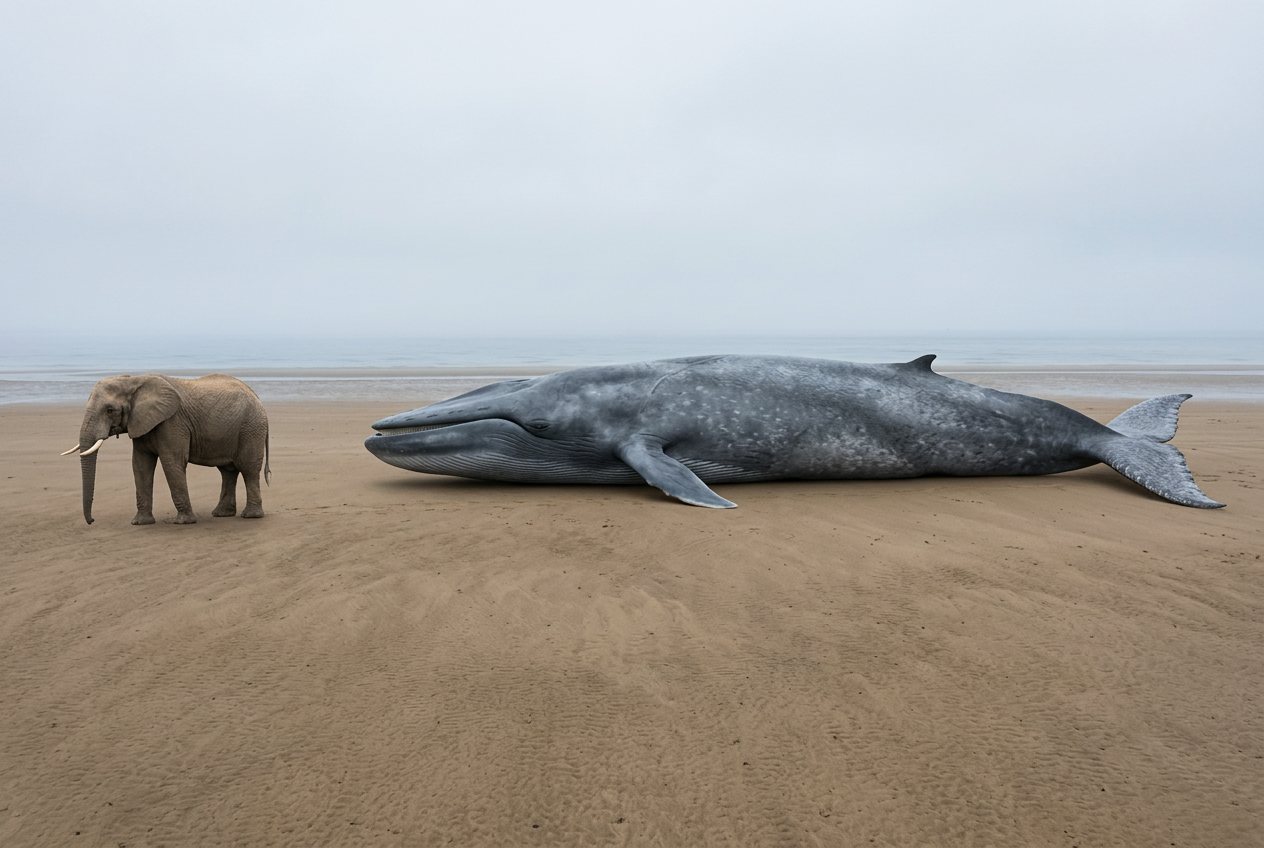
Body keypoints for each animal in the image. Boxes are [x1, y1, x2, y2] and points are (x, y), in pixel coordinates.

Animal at [63, 374, 271, 525]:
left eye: (109, 410)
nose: (91, 521)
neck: (134, 379)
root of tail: (258, 399)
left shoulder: (172, 422)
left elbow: (172, 462)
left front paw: (183, 522)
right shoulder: (142, 424)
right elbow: (140, 465)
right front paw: (140, 523)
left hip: (251, 428)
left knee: (248, 469)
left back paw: (250, 516)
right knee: (228, 471)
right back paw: (221, 514)